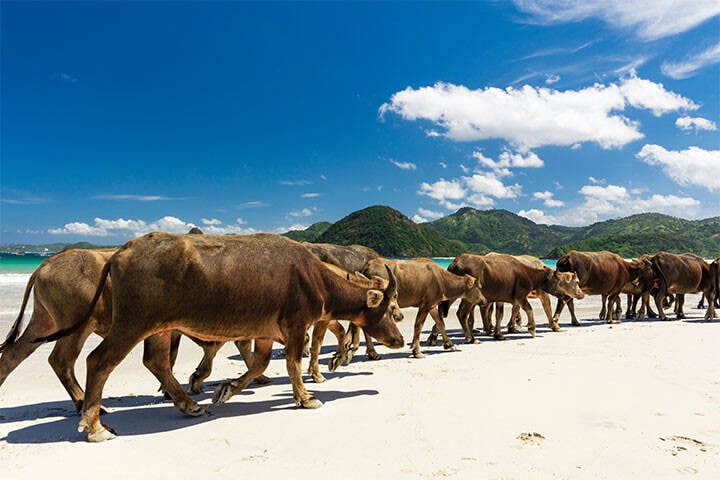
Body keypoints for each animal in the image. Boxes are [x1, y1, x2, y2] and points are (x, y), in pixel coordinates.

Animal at [36, 232, 402, 442]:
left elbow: (259, 365)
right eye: (388, 307)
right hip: (132, 323)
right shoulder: (296, 325)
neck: (314, 276)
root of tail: (120, 251)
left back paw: (188, 404)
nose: (398, 338)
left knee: (156, 361)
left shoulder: (267, 332)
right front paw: (307, 397)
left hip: (160, 328)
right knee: (99, 361)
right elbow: (293, 365)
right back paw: (95, 426)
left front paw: (226, 390)